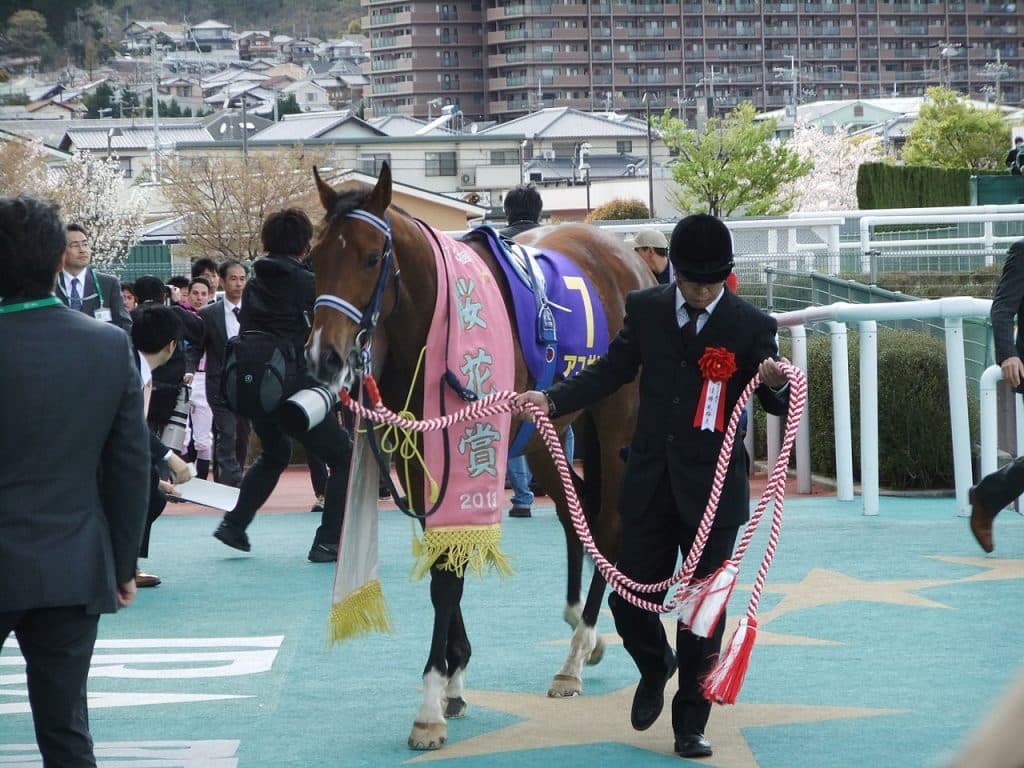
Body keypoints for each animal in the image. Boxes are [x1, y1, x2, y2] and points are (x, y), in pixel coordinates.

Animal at [306, 162, 652, 750]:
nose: (324, 356)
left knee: (606, 522)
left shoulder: (468, 453)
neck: (431, 324)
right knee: (574, 513)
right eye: (313, 259)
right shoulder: (421, 460)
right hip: (544, 430)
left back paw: (576, 653)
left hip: (615, 418)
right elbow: (446, 561)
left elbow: (448, 578)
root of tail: (624, 254)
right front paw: (455, 675)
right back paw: (584, 636)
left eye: (371, 258)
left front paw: (430, 705)